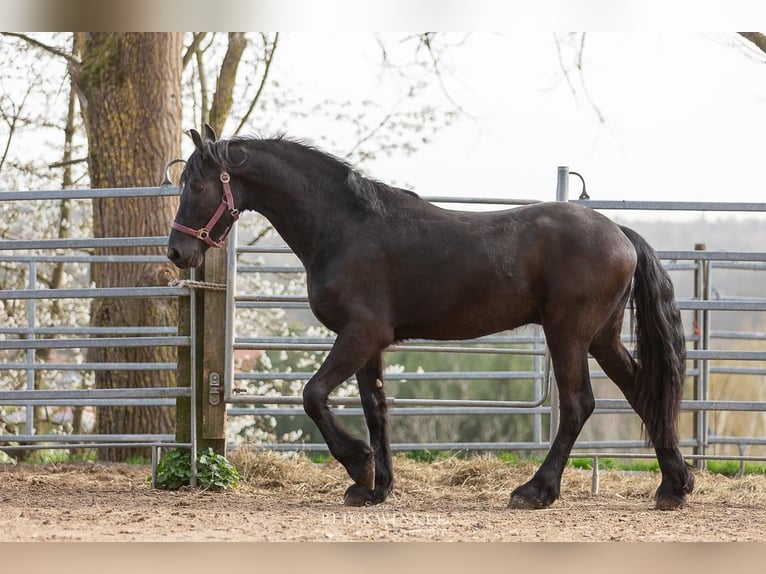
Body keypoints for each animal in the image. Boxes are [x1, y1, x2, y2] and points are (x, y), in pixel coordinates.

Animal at [167, 125, 694, 510]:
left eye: (197, 184)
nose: (177, 252)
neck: (345, 228)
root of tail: (620, 233)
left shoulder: (360, 334)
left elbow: (313, 395)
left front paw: (358, 464)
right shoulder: (370, 344)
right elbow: (376, 409)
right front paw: (375, 487)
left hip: (568, 334)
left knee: (579, 404)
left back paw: (536, 491)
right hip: (601, 337)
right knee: (642, 392)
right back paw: (673, 486)